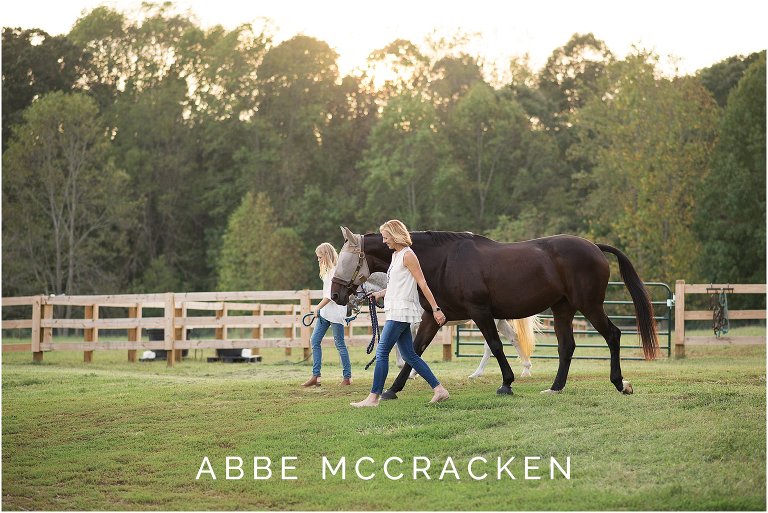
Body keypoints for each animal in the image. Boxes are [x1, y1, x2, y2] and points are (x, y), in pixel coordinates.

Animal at [350, 272, 541, 379]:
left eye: (354, 285)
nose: (350, 304)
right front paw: (411, 371)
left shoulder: (412, 324)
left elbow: (405, 348)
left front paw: (409, 371)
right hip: (500, 322)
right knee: (515, 339)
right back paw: (526, 369)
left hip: (489, 321)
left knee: (490, 346)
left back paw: (476, 374)